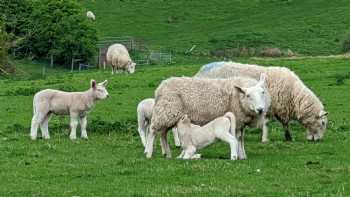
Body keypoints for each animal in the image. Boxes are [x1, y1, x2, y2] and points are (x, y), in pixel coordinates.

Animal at [194, 61, 328, 142]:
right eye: (323, 123)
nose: (318, 140)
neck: (294, 95)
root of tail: (201, 70)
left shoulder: (275, 108)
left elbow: (282, 124)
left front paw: (286, 137)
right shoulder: (272, 107)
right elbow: (271, 123)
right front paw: (266, 139)